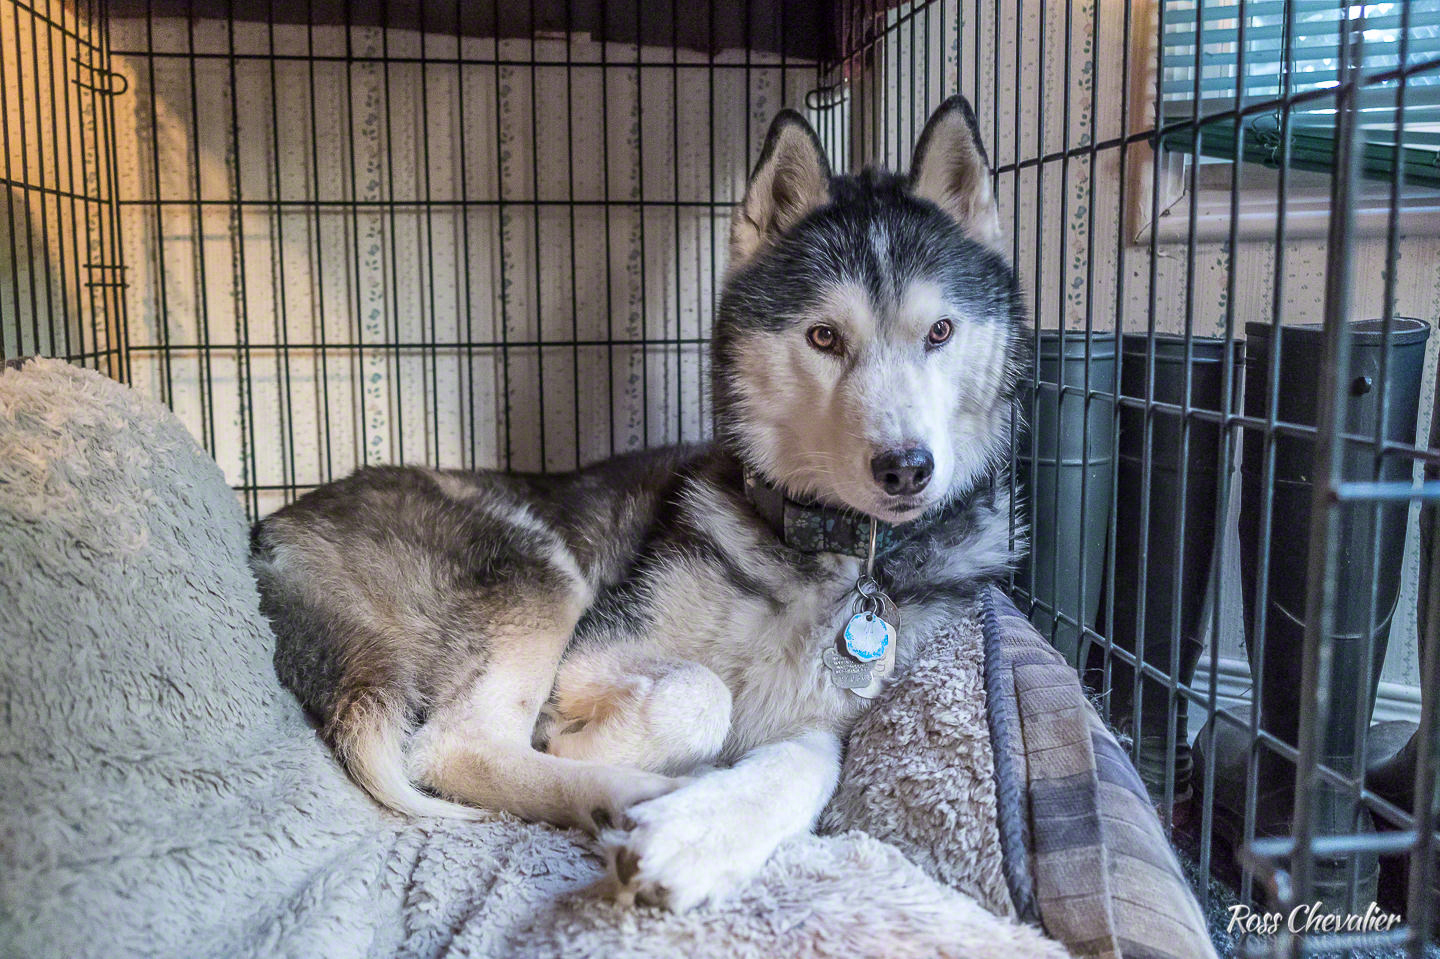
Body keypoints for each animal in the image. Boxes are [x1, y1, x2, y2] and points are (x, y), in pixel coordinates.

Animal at [253, 93, 1031, 910]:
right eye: (823, 336)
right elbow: (700, 692)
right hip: (536, 570)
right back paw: (627, 790)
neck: (826, 547)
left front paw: (701, 835)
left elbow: (812, 762)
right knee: (452, 745)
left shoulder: (830, 716)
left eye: (940, 331)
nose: (907, 468)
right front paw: (603, 751)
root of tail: (274, 531)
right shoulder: (598, 647)